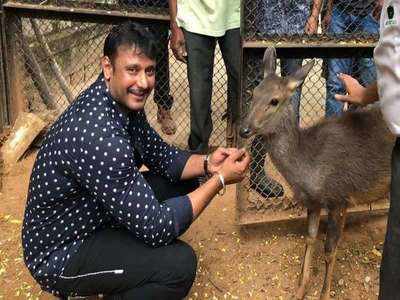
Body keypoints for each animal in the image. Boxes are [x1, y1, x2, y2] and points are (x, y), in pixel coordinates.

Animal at [239, 48, 392, 298]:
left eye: (274, 100)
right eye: (254, 92)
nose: (244, 129)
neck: (309, 169)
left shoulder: (340, 198)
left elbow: (330, 249)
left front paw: (324, 293)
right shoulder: (313, 202)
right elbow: (310, 239)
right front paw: (299, 290)